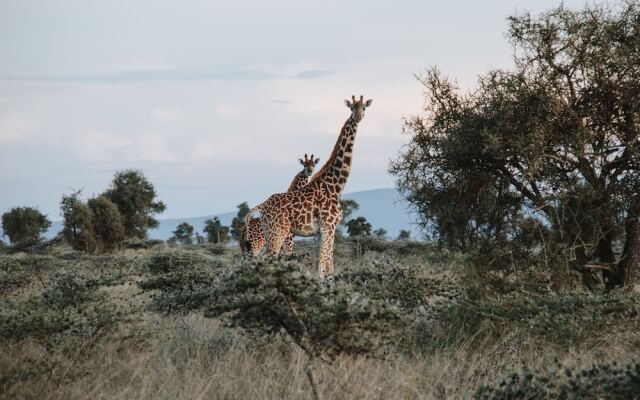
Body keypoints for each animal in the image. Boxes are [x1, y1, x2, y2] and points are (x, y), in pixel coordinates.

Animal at [249, 95, 372, 276]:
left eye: (364, 108)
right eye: (351, 108)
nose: (358, 117)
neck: (335, 187)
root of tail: (262, 206)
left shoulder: (325, 230)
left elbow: (328, 263)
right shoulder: (328, 226)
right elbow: (323, 263)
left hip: (269, 232)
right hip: (278, 232)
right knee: (267, 259)